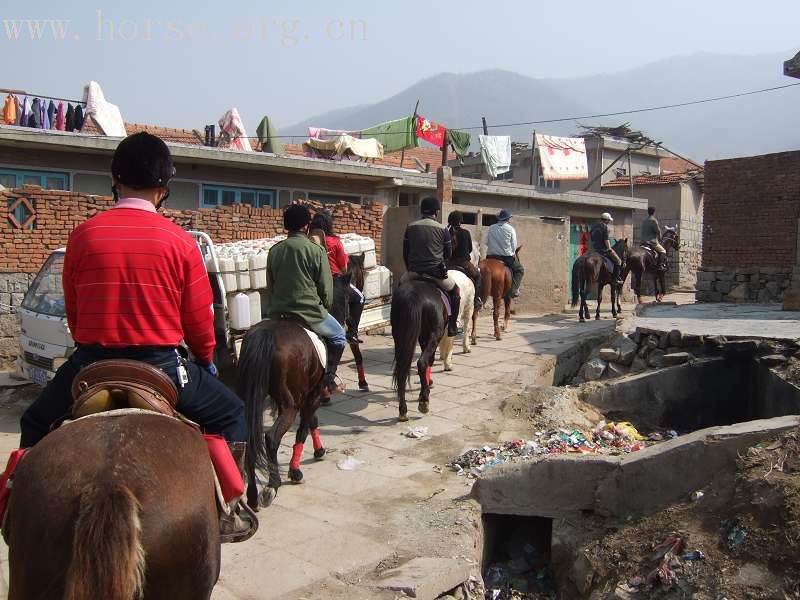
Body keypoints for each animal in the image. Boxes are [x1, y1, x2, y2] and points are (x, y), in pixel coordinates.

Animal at [238, 322, 324, 508]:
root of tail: (266, 334)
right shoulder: (313, 394)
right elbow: (303, 429)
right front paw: (295, 471)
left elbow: (311, 420)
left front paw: (319, 451)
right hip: (291, 404)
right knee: (272, 438)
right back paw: (272, 486)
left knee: (249, 440)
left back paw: (252, 496)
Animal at [392, 282, 450, 422]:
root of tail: (412, 296)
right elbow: (430, 360)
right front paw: (427, 387)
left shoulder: (422, 337)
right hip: (435, 333)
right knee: (422, 362)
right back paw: (424, 401)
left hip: (398, 336)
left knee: (401, 370)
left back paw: (403, 411)